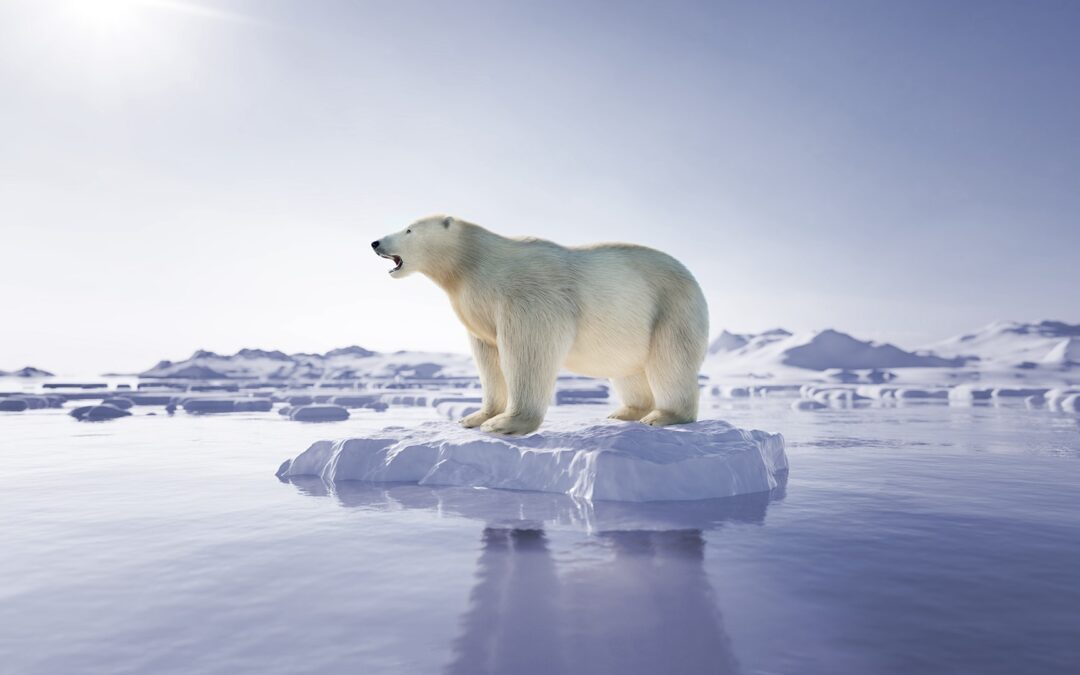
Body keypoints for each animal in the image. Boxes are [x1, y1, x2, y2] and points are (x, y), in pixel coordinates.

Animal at [371, 217, 708, 436]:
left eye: (408, 229)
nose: (375, 242)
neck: (473, 264)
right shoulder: (478, 309)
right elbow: (488, 358)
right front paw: (475, 417)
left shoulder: (527, 295)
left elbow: (528, 350)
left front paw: (505, 424)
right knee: (628, 369)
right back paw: (624, 412)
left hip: (671, 308)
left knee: (670, 362)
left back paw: (662, 416)